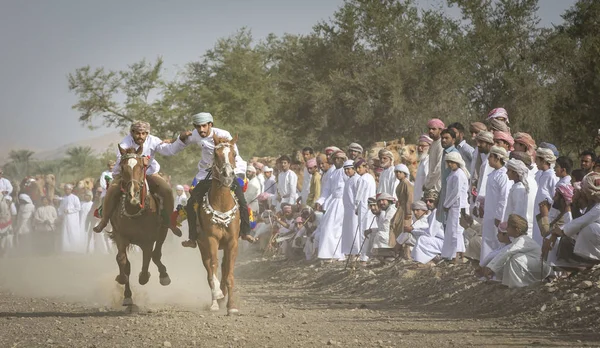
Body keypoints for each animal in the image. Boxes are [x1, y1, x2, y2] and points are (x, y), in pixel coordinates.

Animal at [109, 144, 171, 304]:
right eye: (122, 167)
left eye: (142, 167)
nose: (133, 194)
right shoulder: (120, 236)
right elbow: (122, 260)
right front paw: (122, 280)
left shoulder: (147, 241)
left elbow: (146, 262)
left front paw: (145, 277)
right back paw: (127, 295)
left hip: (163, 231)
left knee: (156, 255)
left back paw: (164, 276)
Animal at [198, 135, 243, 314]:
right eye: (215, 155)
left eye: (234, 154)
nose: (227, 175)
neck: (222, 205)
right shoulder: (211, 240)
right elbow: (213, 267)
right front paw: (216, 298)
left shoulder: (232, 242)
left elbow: (229, 273)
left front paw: (232, 307)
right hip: (202, 246)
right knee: (209, 269)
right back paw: (216, 299)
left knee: (224, 268)